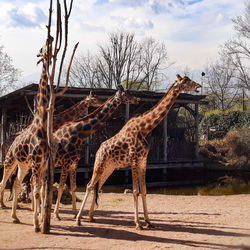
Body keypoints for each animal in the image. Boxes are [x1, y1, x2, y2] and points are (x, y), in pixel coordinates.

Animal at [0, 37, 53, 232]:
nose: (50, 38)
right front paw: (37, 225)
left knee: (16, 183)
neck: (41, 126)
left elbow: (41, 191)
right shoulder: (37, 164)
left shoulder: (43, 165)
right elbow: (37, 193)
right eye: (41, 48)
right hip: (10, 161)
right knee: (3, 183)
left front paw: (40, 220)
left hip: (23, 165)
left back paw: (15, 216)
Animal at [75, 74, 201, 230]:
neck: (144, 129)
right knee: (89, 186)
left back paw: (91, 216)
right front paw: (137, 223)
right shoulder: (134, 161)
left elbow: (144, 191)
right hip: (99, 165)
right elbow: (135, 191)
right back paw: (78, 219)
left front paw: (148, 221)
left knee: (97, 187)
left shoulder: (143, 161)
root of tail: (98, 150)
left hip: (108, 168)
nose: (199, 86)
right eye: (185, 81)